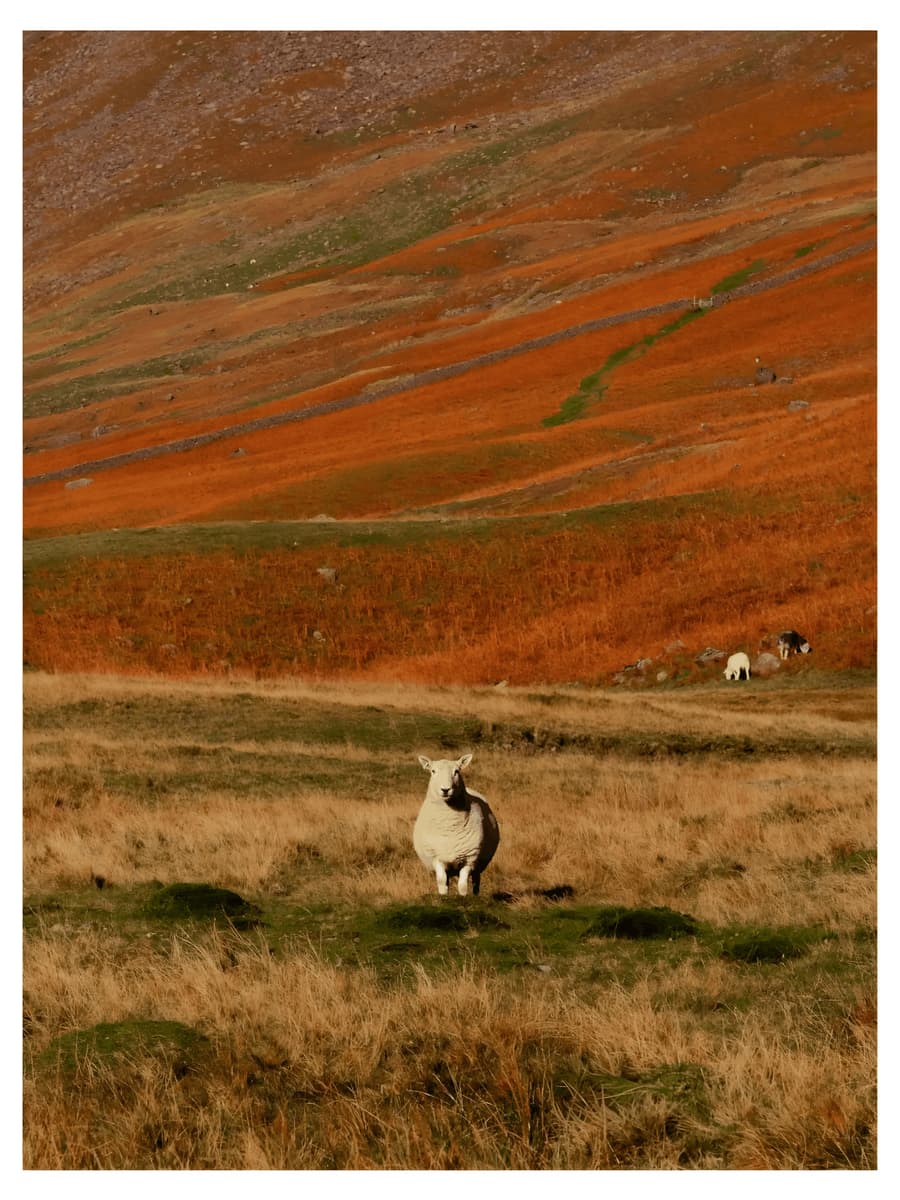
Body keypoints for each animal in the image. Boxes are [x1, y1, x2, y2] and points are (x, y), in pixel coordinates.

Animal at [413, 753, 499, 897]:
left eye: (456, 771)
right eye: (433, 771)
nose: (445, 789)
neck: (449, 825)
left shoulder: (469, 859)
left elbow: (463, 885)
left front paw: (463, 897)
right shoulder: (437, 858)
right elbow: (442, 881)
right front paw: (443, 895)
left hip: (478, 865)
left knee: (476, 881)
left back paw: (475, 895)